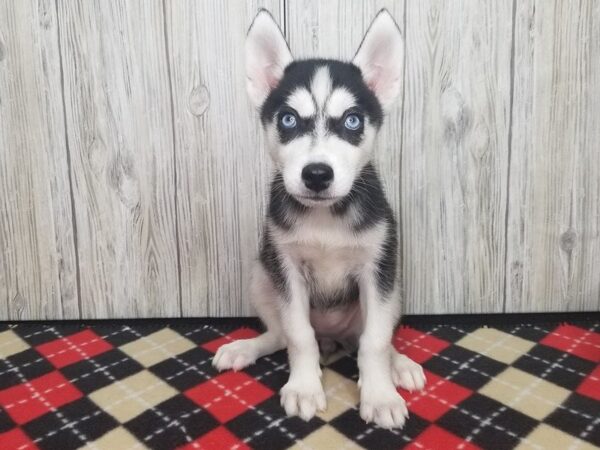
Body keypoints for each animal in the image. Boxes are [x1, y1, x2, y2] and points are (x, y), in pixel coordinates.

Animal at [212, 7, 426, 428]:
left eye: (353, 121)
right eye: (288, 120)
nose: (316, 174)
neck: (326, 216)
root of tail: (334, 335)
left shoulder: (377, 269)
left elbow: (375, 342)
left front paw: (380, 395)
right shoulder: (286, 267)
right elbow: (297, 335)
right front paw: (304, 388)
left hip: (391, 291)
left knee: (370, 336)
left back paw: (401, 365)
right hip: (261, 275)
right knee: (281, 334)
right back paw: (247, 347)